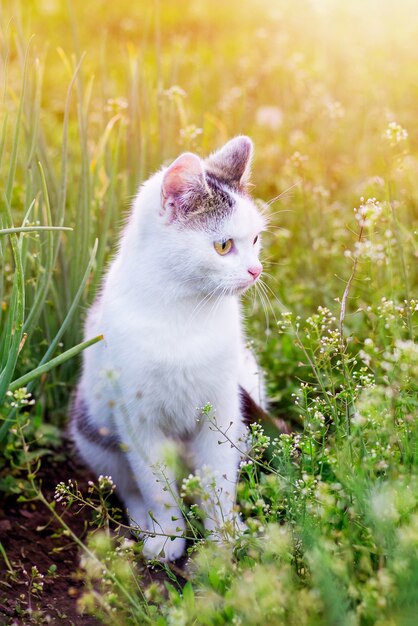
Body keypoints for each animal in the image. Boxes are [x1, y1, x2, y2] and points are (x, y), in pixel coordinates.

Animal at [70, 134, 266, 560]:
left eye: (256, 239)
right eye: (224, 246)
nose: (256, 270)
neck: (185, 311)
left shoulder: (222, 409)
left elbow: (218, 480)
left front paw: (223, 535)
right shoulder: (136, 419)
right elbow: (155, 486)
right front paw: (168, 536)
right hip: (93, 433)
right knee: (128, 486)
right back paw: (144, 522)